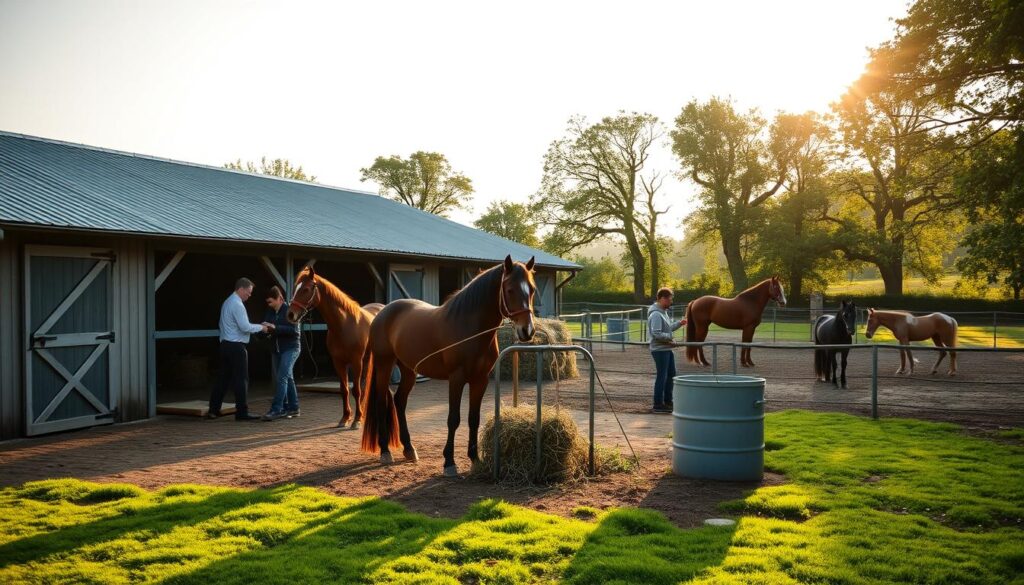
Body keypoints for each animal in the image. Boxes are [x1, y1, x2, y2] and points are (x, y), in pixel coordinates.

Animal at [288, 268, 385, 428]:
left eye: (306, 289)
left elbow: (356, 390)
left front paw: (357, 420)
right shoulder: (338, 362)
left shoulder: (355, 362)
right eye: (295, 289)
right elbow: (344, 390)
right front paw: (345, 418)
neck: (344, 325)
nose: (290, 315)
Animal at [360, 255, 536, 475]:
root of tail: (382, 312)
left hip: (409, 370)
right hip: (384, 364)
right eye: (510, 289)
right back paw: (385, 451)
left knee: (399, 401)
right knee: (381, 403)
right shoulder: (456, 378)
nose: (527, 331)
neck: (469, 327)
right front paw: (449, 463)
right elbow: (453, 419)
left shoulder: (480, 380)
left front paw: (475, 459)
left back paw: (409, 448)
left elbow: (473, 419)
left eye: (532, 289)